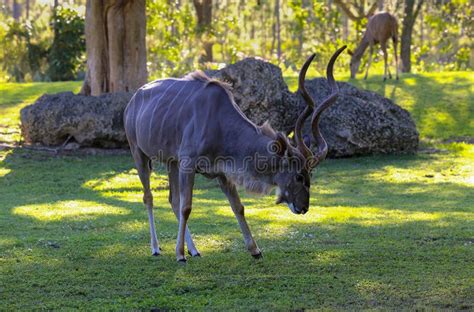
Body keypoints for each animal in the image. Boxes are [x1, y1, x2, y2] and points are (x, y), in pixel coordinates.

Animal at [124, 45, 346, 262]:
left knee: (172, 200)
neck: (219, 120)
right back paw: (156, 248)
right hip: (139, 155)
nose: (303, 207)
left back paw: (194, 250)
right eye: (299, 176)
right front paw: (179, 254)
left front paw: (255, 250)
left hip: (172, 163)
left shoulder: (221, 173)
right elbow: (187, 207)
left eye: (310, 175)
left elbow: (238, 207)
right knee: (149, 197)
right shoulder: (188, 165)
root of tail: (133, 100)